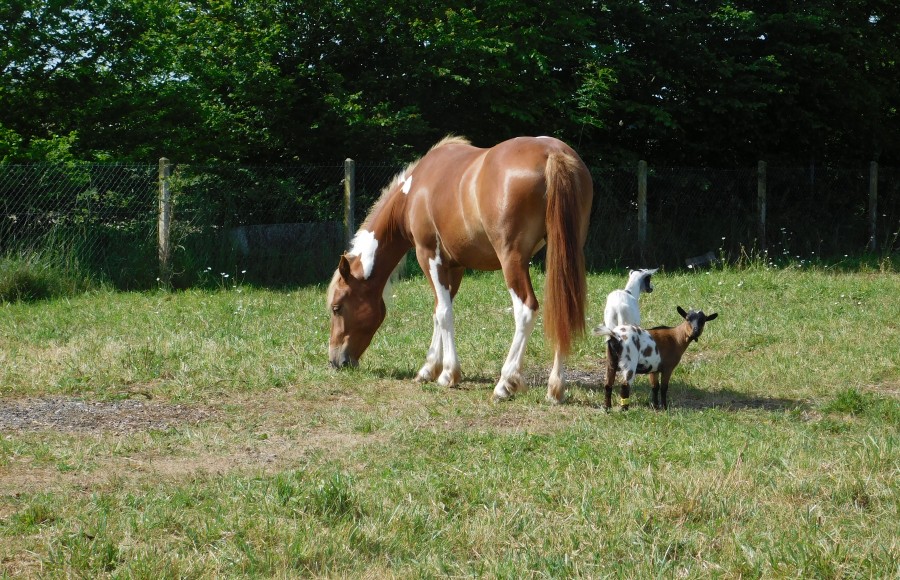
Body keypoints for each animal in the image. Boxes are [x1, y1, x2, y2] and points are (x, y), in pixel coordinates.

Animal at [326, 135, 596, 404]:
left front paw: (448, 374)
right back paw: (555, 389)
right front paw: (429, 369)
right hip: (563, 256)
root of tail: (552, 152)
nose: (336, 361)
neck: (414, 191)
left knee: (526, 311)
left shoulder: (429, 256)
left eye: (337, 307)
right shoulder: (454, 266)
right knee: (562, 311)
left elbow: (444, 312)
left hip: (513, 261)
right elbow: (439, 311)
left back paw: (505, 383)